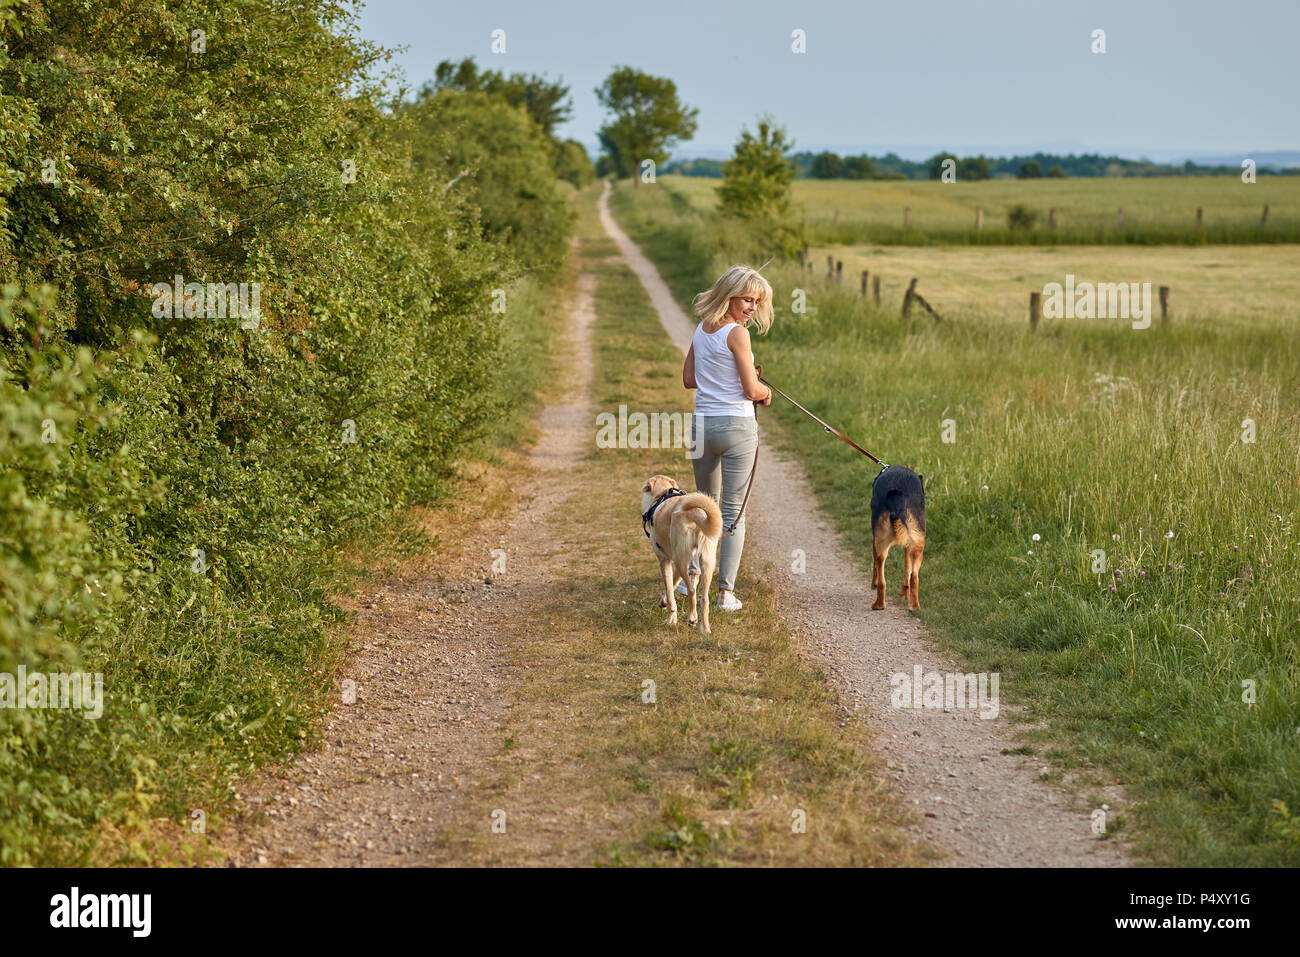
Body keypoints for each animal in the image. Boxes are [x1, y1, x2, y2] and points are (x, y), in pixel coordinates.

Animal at [873, 465, 925, 613]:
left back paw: (878, 604)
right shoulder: (909, 546)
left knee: (881, 576)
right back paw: (914, 606)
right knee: (914, 577)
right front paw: (904, 593)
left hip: (879, 543)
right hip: (918, 546)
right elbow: (907, 569)